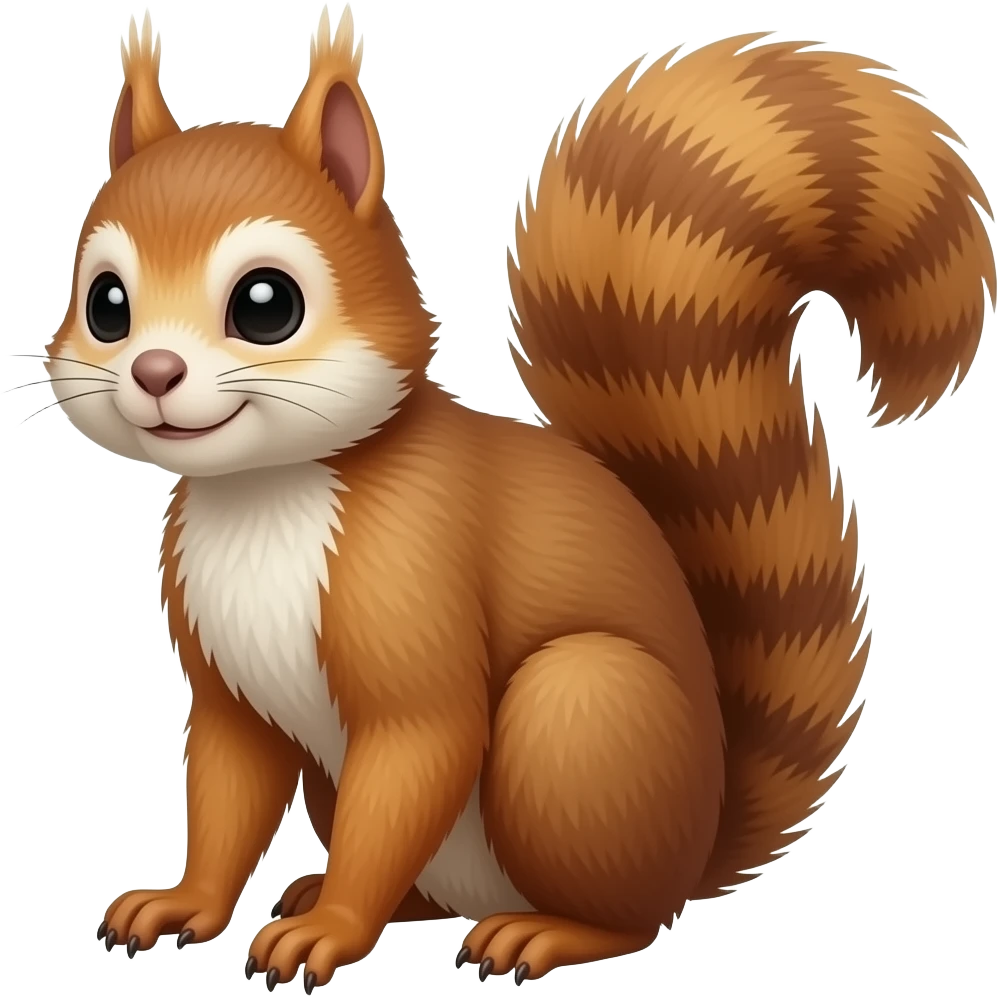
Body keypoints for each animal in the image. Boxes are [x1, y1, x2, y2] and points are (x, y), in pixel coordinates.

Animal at [55, 5, 992, 992]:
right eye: (106, 303)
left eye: (266, 304)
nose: (154, 373)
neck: (264, 495)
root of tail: (696, 841)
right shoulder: (229, 688)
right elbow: (228, 790)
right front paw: (186, 903)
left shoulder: (417, 584)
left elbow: (419, 746)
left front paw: (334, 932)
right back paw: (343, 894)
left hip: (580, 721)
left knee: (627, 914)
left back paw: (538, 932)